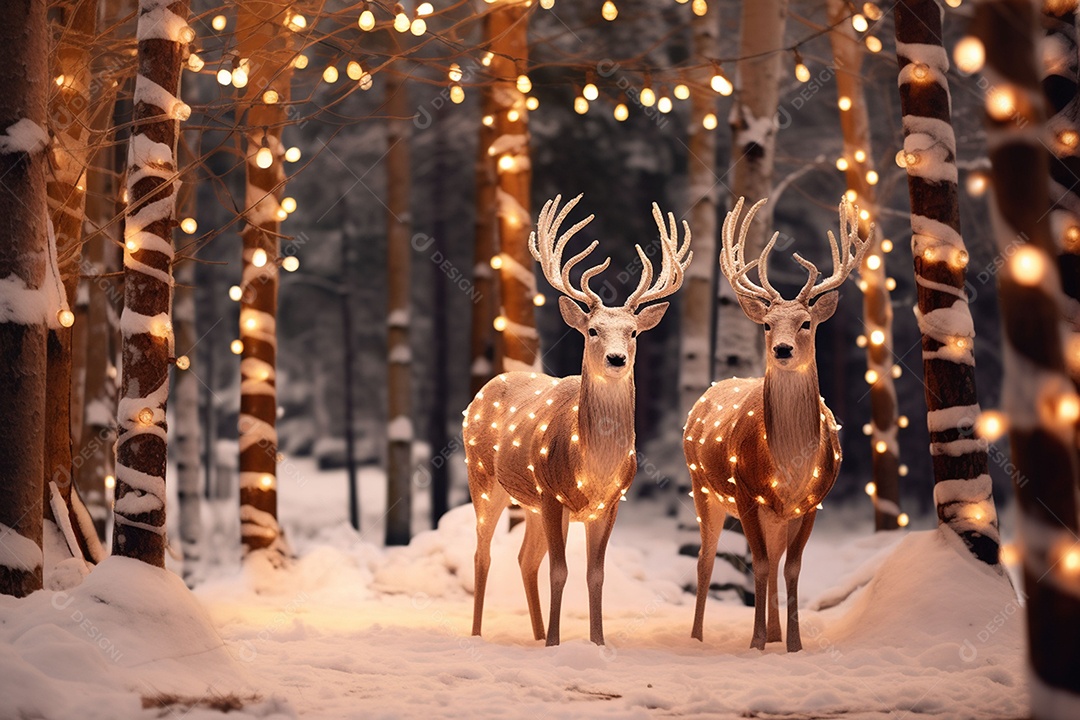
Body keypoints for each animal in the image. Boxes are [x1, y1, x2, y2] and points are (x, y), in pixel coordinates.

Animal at [464, 193, 691, 647]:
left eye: (634, 333)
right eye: (592, 330)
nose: (617, 358)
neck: (594, 466)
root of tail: (486, 387)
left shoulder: (608, 503)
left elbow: (594, 574)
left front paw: (597, 642)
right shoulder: (554, 496)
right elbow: (560, 571)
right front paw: (557, 644)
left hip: (529, 502)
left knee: (524, 559)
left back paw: (535, 635)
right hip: (483, 478)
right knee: (483, 554)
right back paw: (480, 634)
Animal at [686, 197, 872, 651]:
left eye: (806, 322)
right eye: (768, 324)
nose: (783, 349)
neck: (789, 468)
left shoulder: (812, 501)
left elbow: (790, 569)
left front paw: (793, 644)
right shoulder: (747, 493)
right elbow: (759, 565)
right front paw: (755, 643)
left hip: (775, 514)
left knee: (772, 557)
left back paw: (773, 633)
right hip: (704, 488)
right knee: (706, 560)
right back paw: (698, 636)